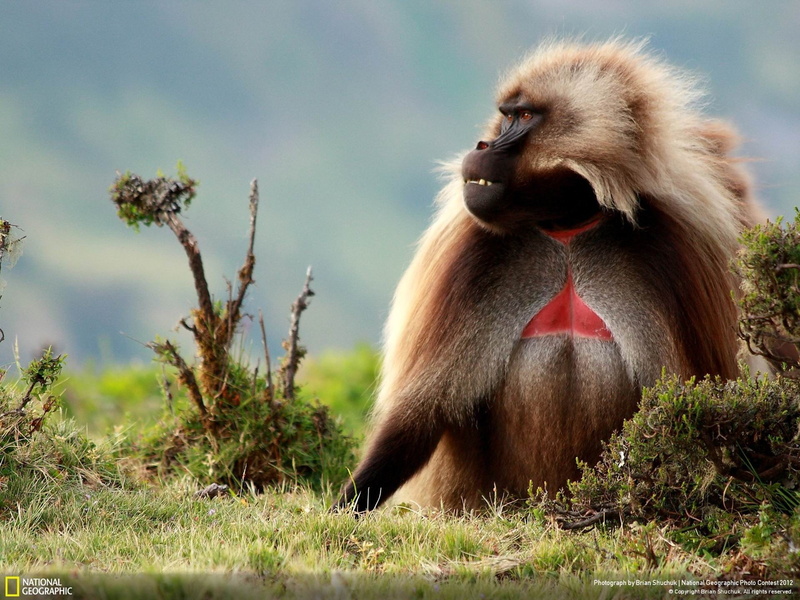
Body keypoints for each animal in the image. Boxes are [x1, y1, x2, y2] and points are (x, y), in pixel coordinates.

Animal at [336, 39, 763, 513]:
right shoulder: (470, 258)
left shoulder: (676, 255)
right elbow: (421, 414)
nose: (483, 144)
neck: (567, 227)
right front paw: (347, 506)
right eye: (505, 114)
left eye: (523, 117)